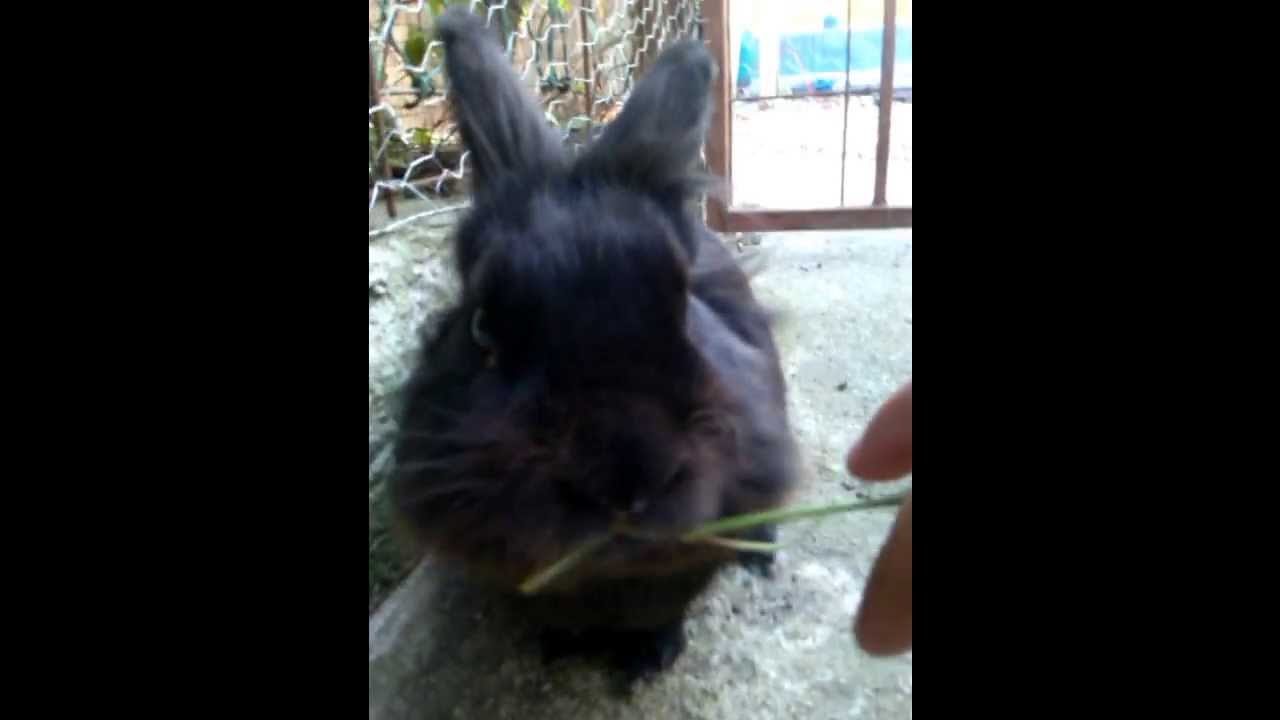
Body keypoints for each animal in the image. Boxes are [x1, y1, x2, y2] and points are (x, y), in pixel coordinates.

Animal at [391, 7, 801, 688]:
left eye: (682, 304)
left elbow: (664, 609)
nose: (625, 483)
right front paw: (559, 644)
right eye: (482, 329)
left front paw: (647, 659)